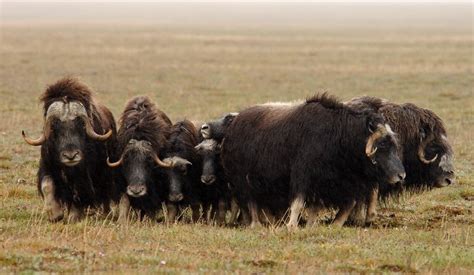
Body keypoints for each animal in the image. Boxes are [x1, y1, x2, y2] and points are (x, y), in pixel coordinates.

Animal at [21, 77, 118, 222]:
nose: (71, 156)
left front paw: (74, 216)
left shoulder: (84, 176)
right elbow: (47, 185)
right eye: (54, 127)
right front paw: (55, 214)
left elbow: (78, 192)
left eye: (81, 125)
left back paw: (106, 214)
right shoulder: (47, 165)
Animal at [220, 94, 406, 229]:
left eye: (394, 144)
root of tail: (235, 123)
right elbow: (298, 202)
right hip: (242, 179)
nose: (401, 176)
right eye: (382, 145)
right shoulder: (303, 175)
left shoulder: (325, 182)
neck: (341, 137)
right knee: (250, 201)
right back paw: (256, 225)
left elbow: (318, 206)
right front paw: (292, 226)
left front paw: (312, 225)